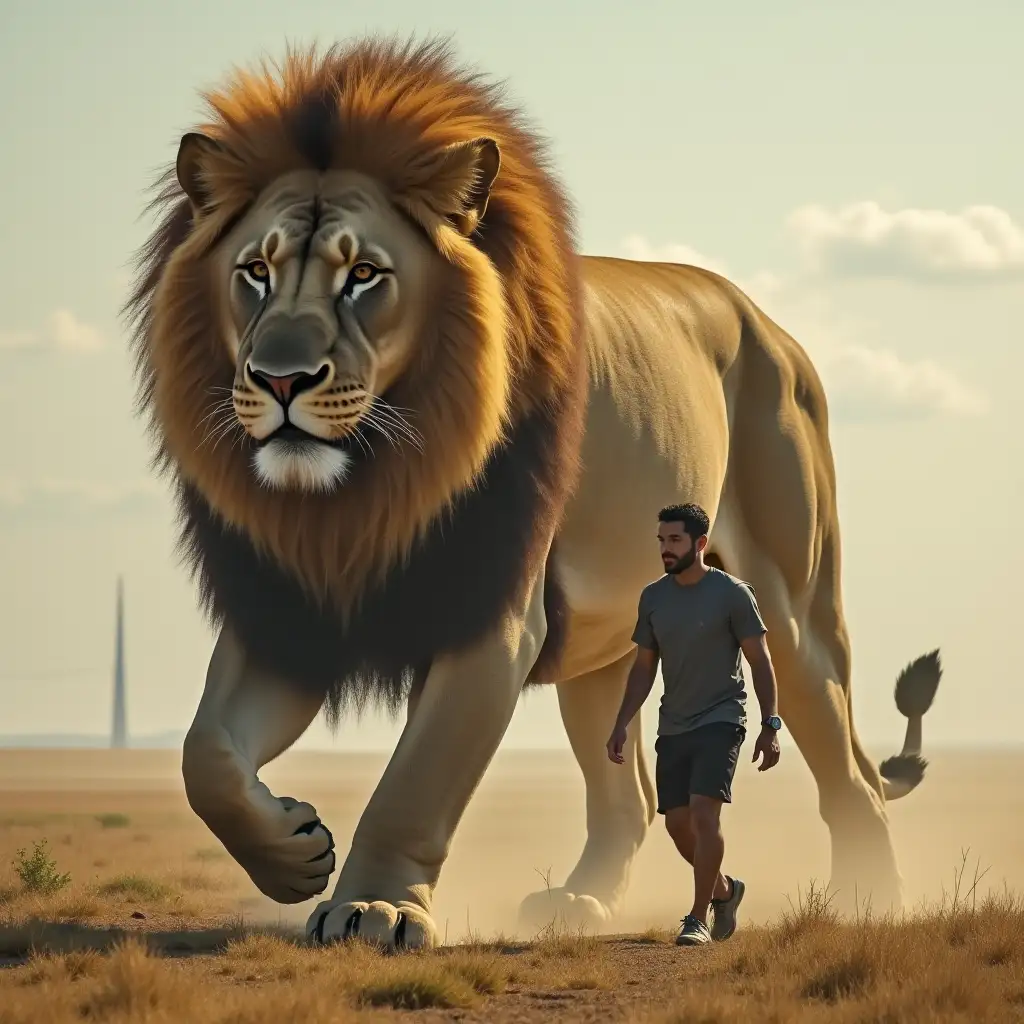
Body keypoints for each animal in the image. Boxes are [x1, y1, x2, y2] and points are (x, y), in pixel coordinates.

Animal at [125, 37, 942, 950]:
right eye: (255, 272)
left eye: (364, 274)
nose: (280, 378)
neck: (361, 495)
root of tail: (770, 323)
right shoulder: (289, 604)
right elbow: (205, 754)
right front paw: (295, 851)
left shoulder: (495, 620)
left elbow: (417, 781)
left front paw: (374, 908)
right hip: (610, 642)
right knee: (633, 796)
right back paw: (581, 902)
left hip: (792, 602)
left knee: (845, 764)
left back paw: (870, 899)